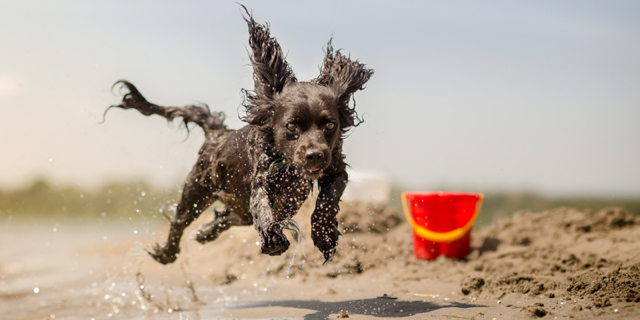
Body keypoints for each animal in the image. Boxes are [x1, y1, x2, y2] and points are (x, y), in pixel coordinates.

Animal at [105, 7, 372, 266]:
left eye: (330, 125)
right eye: (291, 126)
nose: (315, 156)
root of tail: (217, 134)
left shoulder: (335, 167)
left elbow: (329, 198)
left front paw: (324, 235)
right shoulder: (261, 178)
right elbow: (263, 207)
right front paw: (274, 238)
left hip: (233, 205)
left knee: (228, 216)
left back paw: (206, 232)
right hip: (197, 189)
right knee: (179, 222)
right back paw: (167, 253)